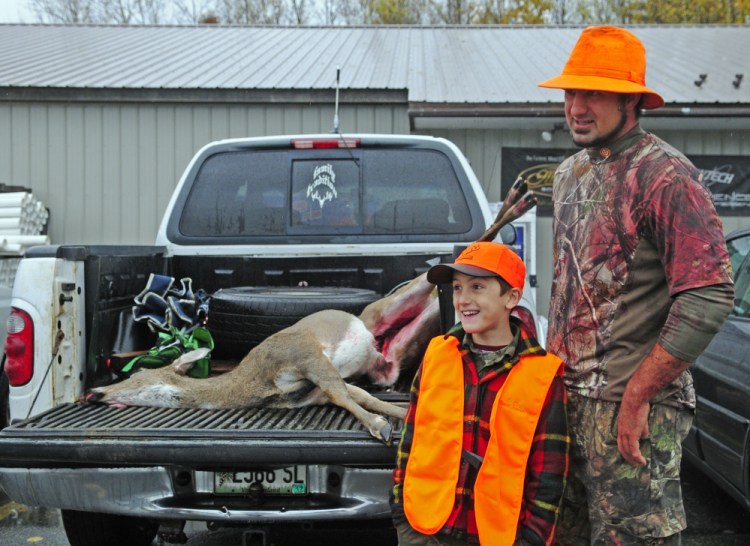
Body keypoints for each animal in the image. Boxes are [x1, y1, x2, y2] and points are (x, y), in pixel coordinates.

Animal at [84, 270, 440, 444]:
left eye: (135, 375)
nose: (93, 392)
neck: (255, 382)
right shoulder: (313, 390)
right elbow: (358, 394)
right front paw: (400, 413)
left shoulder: (303, 350)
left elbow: (343, 393)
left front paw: (380, 426)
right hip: (388, 355)